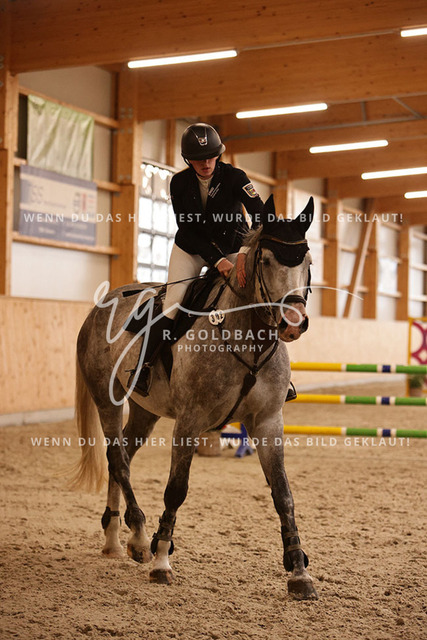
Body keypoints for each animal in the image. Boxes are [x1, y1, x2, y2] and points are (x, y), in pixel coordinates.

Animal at [72, 194, 318, 600]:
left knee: (122, 456)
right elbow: (176, 490)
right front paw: (161, 561)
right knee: (119, 460)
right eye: (267, 261)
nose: (293, 322)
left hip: (145, 411)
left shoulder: (268, 423)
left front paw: (299, 572)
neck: (247, 336)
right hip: (109, 400)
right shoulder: (190, 421)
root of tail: (99, 306)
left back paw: (114, 538)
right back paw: (139, 537)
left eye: (309, 263)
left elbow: (283, 494)